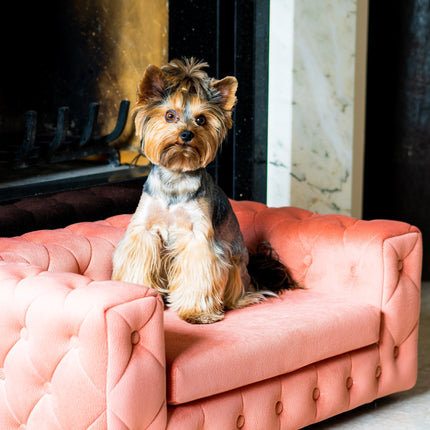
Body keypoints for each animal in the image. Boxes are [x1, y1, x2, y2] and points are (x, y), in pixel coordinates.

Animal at [112, 58, 298, 324]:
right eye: (170, 115)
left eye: (201, 120)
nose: (186, 134)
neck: (176, 177)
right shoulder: (145, 230)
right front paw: (137, 295)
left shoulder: (198, 238)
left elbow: (198, 273)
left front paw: (196, 313)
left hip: (235, 268)